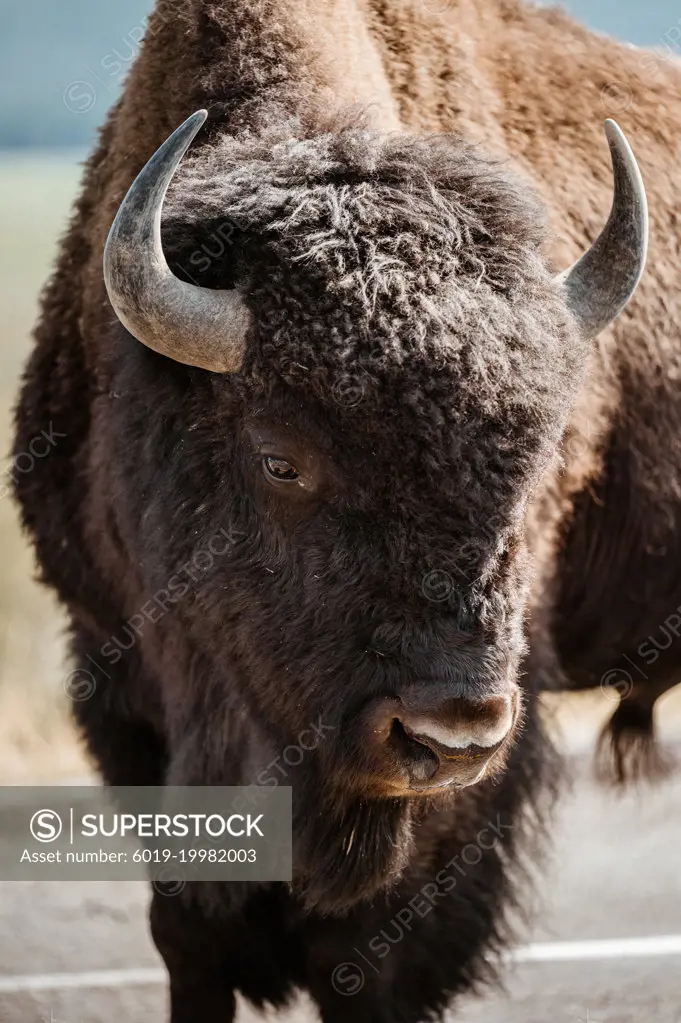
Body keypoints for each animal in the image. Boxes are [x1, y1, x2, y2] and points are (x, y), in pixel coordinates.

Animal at [13, 0, 674, 1018]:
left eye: (535, 462)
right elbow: (186, 930)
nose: (450, 732)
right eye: (280, 460)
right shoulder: (115, 669)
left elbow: (363, 950)